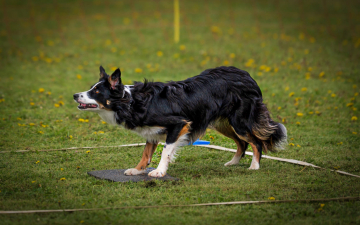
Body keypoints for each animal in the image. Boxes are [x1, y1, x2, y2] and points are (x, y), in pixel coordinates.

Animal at [73, 66, 286, 178]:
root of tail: (247, 75)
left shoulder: (179, 124)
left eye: (96, 92)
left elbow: (166, 151)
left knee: (255, 142)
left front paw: (159, 171)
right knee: (242, 143)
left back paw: (254, 166)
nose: (75, 95)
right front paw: (138, 169)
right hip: (223, 123)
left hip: (239, 122)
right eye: (91, 89)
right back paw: (233, 162)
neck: (131, 101)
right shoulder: (152, 132)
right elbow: (145, 153)